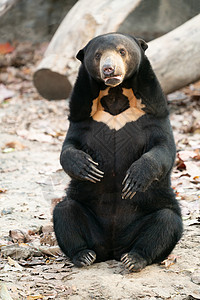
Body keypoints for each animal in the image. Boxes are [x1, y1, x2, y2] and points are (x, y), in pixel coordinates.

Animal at [53, 32, 183, 272]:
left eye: (122, 51)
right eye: (97, 55)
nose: (109, 70)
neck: (114, 95)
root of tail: (113, 249)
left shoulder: (154, 113)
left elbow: (164, 148)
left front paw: (134, 178)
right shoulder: (81, 115)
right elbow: (68, 147)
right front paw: (87, 168)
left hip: (150, 212)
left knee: (166, 221)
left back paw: (134, 258)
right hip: (89, 216)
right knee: (65, 211)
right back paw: (84, 255)